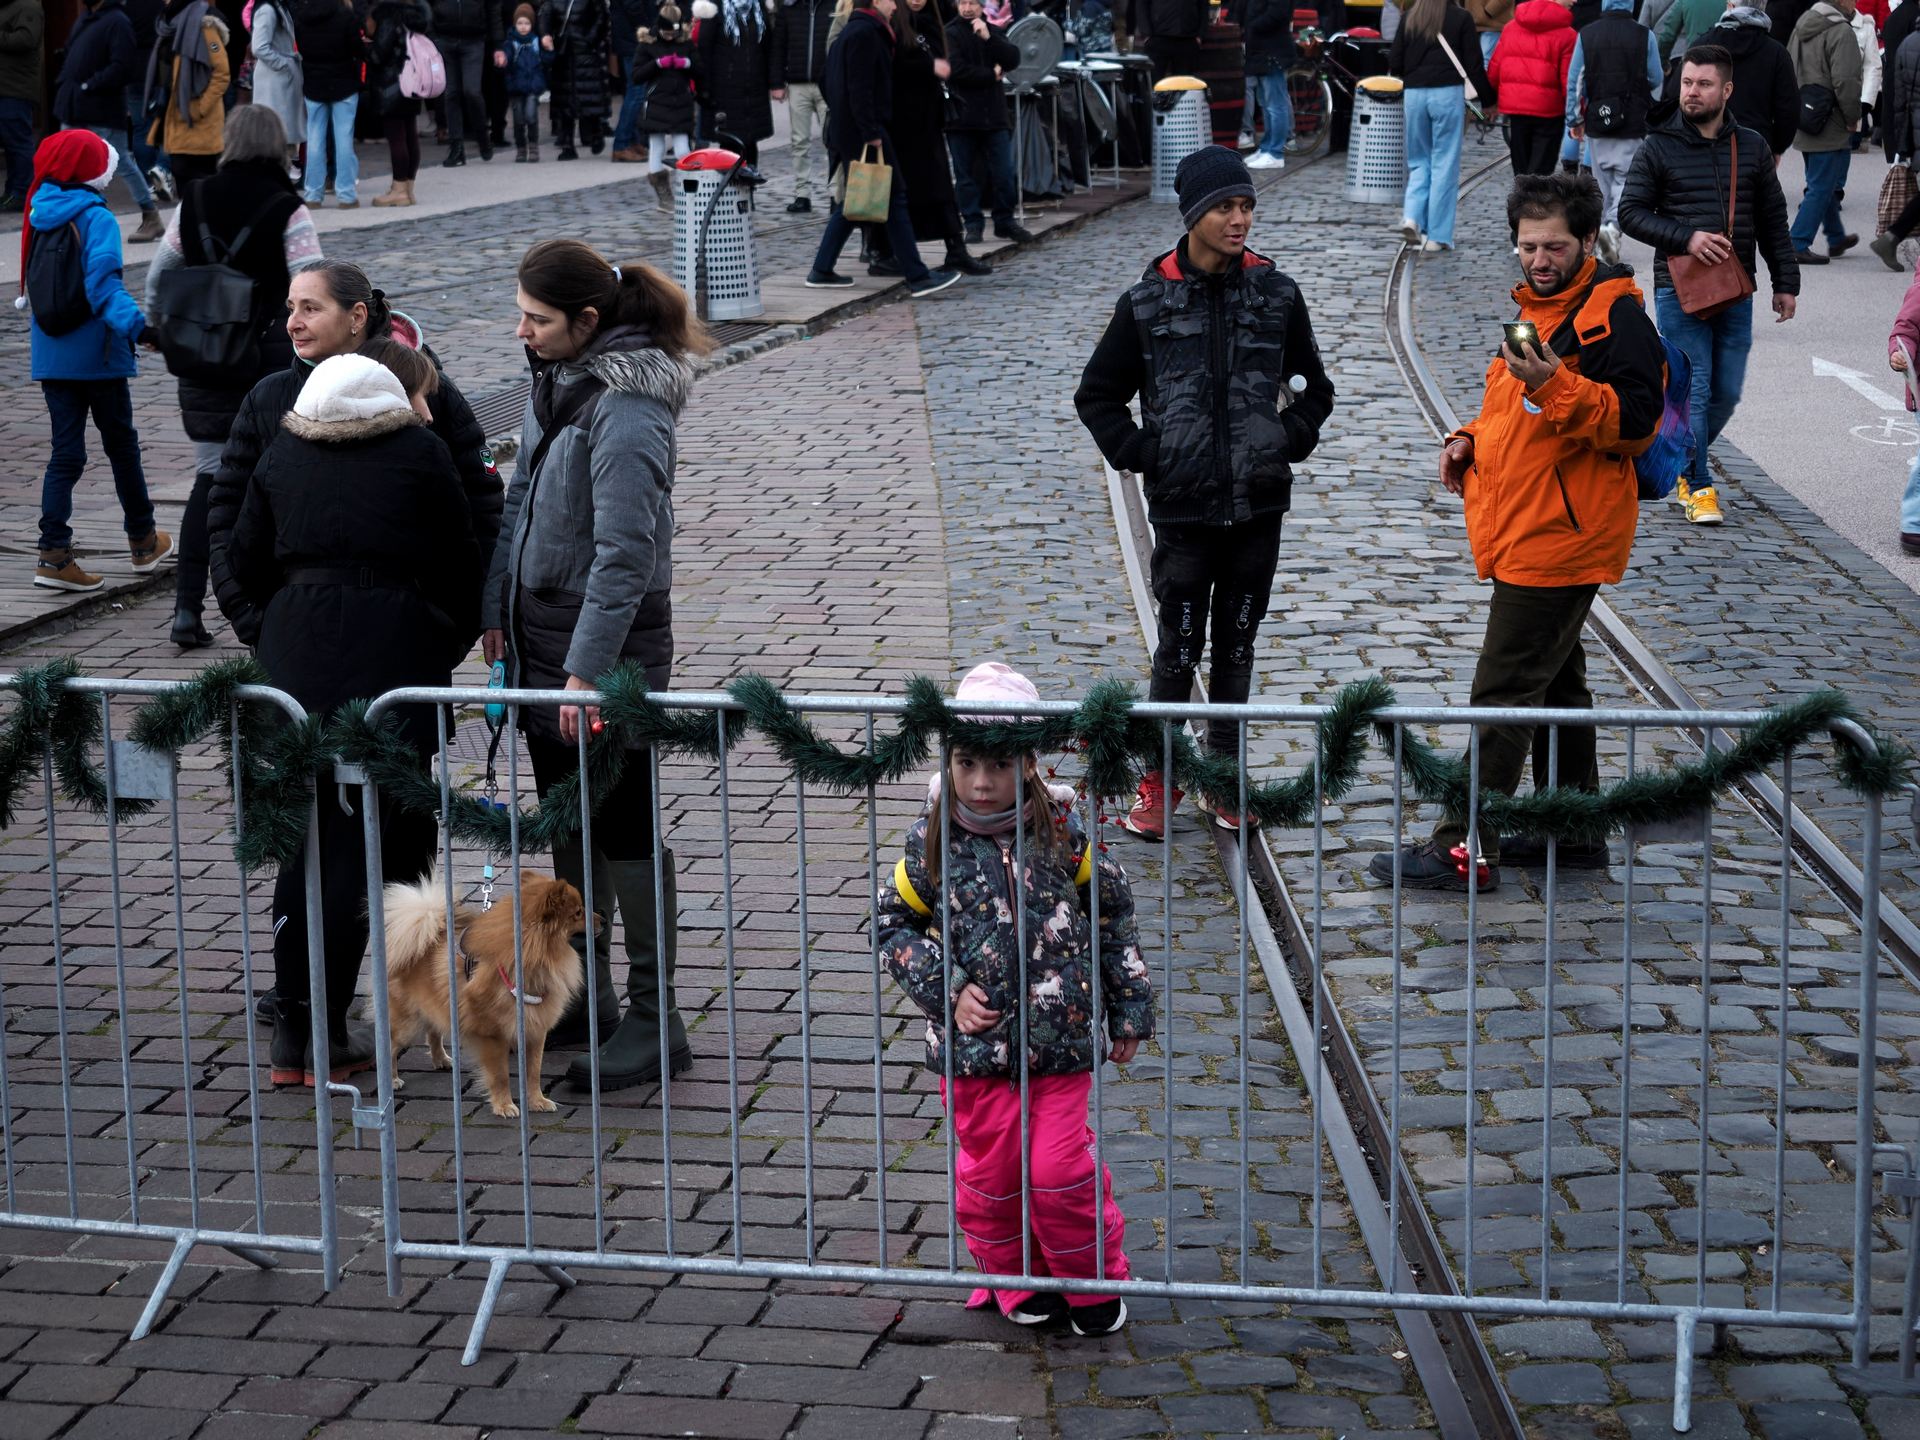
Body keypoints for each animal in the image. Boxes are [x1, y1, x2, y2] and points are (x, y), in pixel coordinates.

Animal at [376, 875, 579, 1121]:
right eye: (578, 913)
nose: (601, 920)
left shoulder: (535, 1032)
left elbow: (533, 1072)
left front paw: (537, 1101)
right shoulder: (492, 1036)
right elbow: (500, 1076)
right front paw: (504, 1106)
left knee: (433, 1031)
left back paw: (441, 1059)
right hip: (407, 1023)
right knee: (391, 1047)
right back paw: (392, 1079)